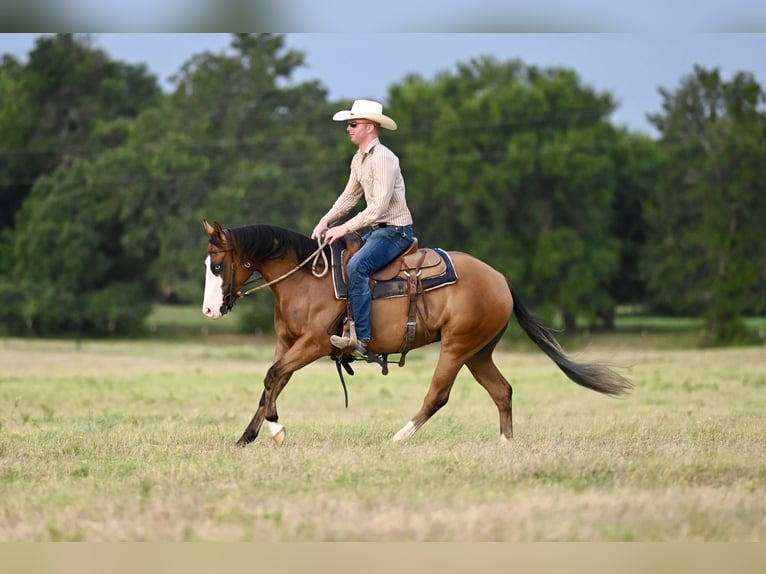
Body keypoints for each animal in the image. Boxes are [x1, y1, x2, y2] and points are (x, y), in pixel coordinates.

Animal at [201, 218, 632, 448]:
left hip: (457, 348)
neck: (306, 280)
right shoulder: (288, 343)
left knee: (438, 395)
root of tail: (499, 279)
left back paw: (399, 436)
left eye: (218, 266)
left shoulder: (314, 343)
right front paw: (248, 437)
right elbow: (273, 382)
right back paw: (505, 444)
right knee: (502, 391)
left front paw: (275, 430)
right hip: (479, 353)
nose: (208, 310)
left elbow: (273, 377)